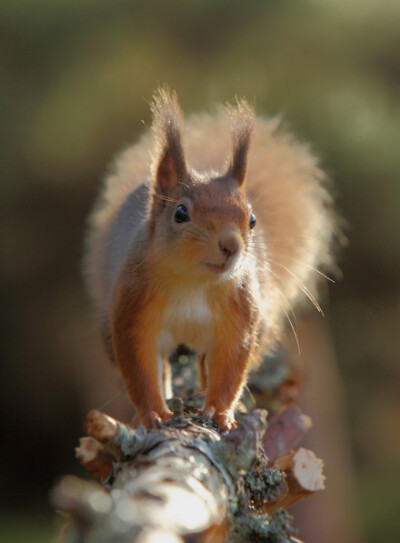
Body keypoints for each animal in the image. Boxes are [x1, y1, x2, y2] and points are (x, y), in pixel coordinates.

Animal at [84, 87, 338, 432]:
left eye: (252, 219)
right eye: (180, 213)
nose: (231, 246)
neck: (194, 282)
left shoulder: (241, 315)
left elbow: (231, 367)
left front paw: (219, 413)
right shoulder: (131, 309)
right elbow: (141, 369)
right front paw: (152, 414)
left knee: (208, 361)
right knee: (163, 366)